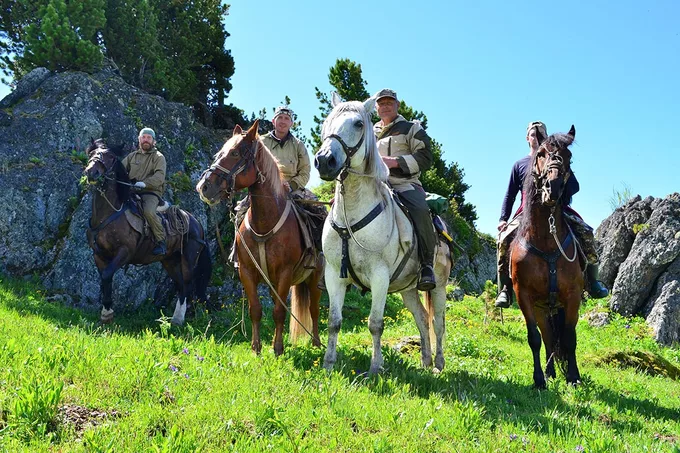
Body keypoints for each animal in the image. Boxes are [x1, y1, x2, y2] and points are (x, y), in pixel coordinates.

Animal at [85, 139, 212, 324]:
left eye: (110, 157)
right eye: (92, 153)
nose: (91, 172)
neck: (109, 214)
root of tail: (197, 223)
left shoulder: (125, 252)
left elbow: (107, 275)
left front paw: (107, 313)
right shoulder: (98, 254)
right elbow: (105, 278)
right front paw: (106, 313)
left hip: (188, 259)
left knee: (187, 285)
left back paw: (178, 320)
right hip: (170, 261)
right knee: (180, 285)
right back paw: (174, 319)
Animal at [195, 122, 322, 354]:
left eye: (235, 153)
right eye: (219, 153)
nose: (204, 187)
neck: (265, 224)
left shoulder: (284, 273)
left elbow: (279, 311)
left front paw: (278, 348)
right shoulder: (247, 272)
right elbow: (256, 309)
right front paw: (256, 347)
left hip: (315, 277)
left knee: (314, 309)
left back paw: (316, 342)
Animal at [314, 93, 452, 372]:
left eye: (358, 124)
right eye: (326, 122)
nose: (324, 160)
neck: (351, 215)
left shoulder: (379, 277)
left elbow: (375, 324)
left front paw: (376, 368)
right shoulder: (334, 276)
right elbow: (334, 321)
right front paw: (329, 364)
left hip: (439, 286)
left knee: (438, 323)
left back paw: (438, 364)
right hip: (408, 289)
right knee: (422, 318)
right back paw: (425, 361)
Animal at [510, 125, 584, 386]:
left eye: (568, 156)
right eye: (541, 153)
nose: (553, 187)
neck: (546, 241)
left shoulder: (573, 296)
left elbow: (570, 337)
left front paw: (573, 377)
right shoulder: (524, 296)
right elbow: (535, 338)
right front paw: (539, 380)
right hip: (542, 308)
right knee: (549, 337)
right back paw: (550, 373)